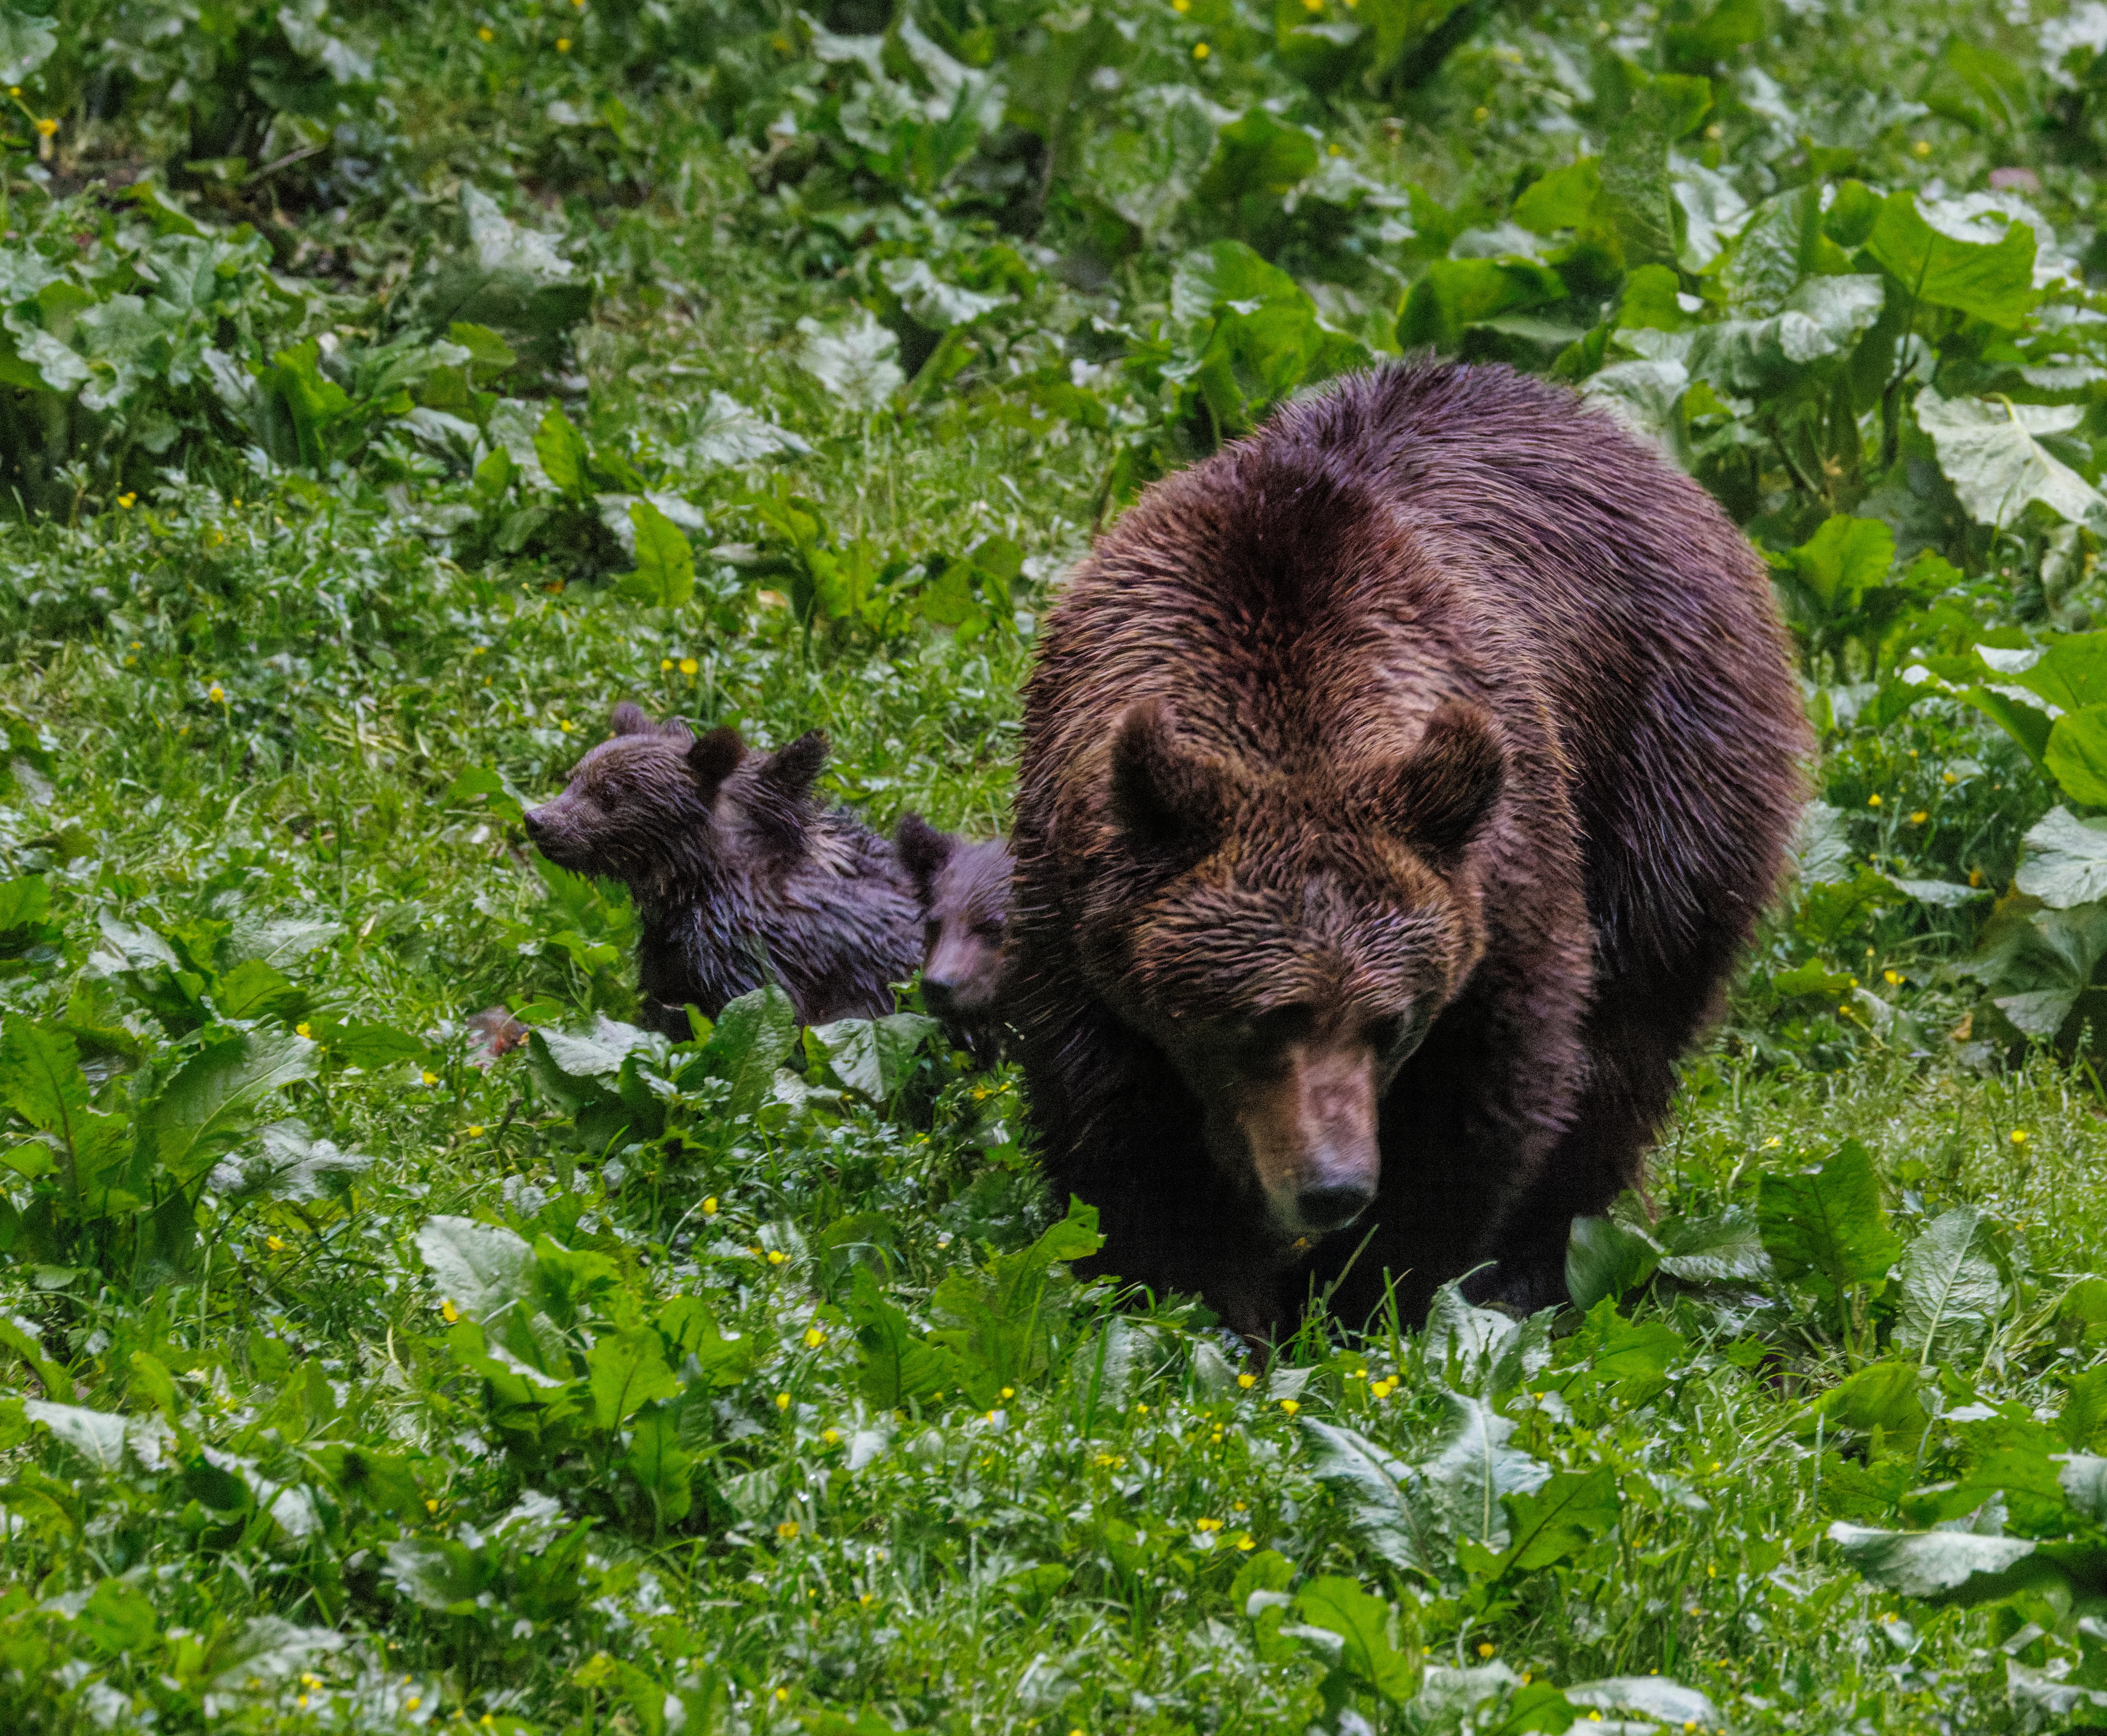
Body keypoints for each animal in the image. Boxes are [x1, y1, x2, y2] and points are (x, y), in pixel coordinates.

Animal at [1008, 361, 1811, 1343]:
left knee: (1632, 1024)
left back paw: (1544, 1257)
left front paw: (1362, 1295)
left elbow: (1486, 1099)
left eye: (1389, 1023)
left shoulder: (1495, 871)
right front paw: (1206, 1300)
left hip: (1667, 762)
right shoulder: (1079, 896)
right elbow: (1117, 1121)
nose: (1332, 1186)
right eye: (1260, 1018)